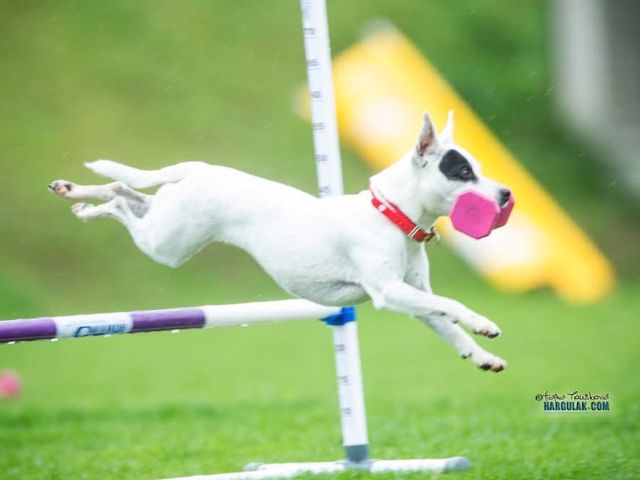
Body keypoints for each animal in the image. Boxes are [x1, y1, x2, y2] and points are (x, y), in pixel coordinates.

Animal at [49, 112, 510, 372]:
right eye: (463, 173)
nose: (506, 194)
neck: (391, 214)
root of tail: (199, 168)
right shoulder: (389, 291)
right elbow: (451, 305)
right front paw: (483, 323)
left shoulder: (413, 296)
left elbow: (445, 324)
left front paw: (480, 355)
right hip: (166, 245)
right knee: (119, 202)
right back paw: (84, 207)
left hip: (167, 221)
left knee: (123, 190)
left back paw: (75, 193)